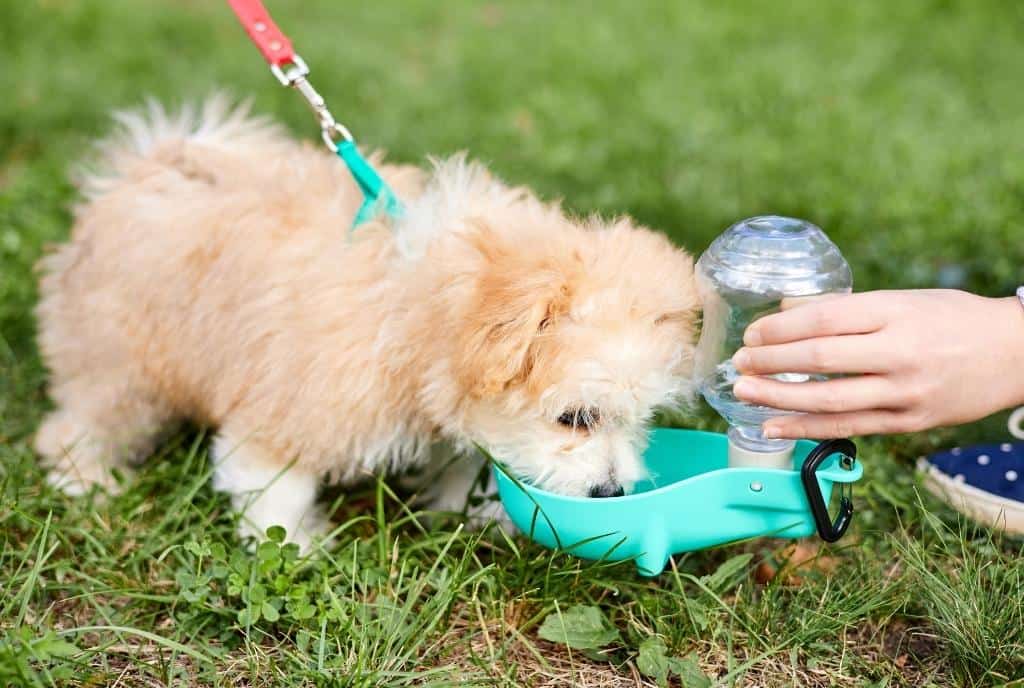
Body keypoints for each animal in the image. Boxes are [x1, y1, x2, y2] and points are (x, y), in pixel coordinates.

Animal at [36, 98, 700, 548]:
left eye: (639, 421)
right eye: (575, 419)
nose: (612, 492)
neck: (418, 308)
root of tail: (148, 165)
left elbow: (466, 462)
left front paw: (471, 513)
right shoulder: (288, 410)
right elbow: (275, 489)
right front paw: (292, 547)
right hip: (118, 359)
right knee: (84, 419)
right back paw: (85, 477)